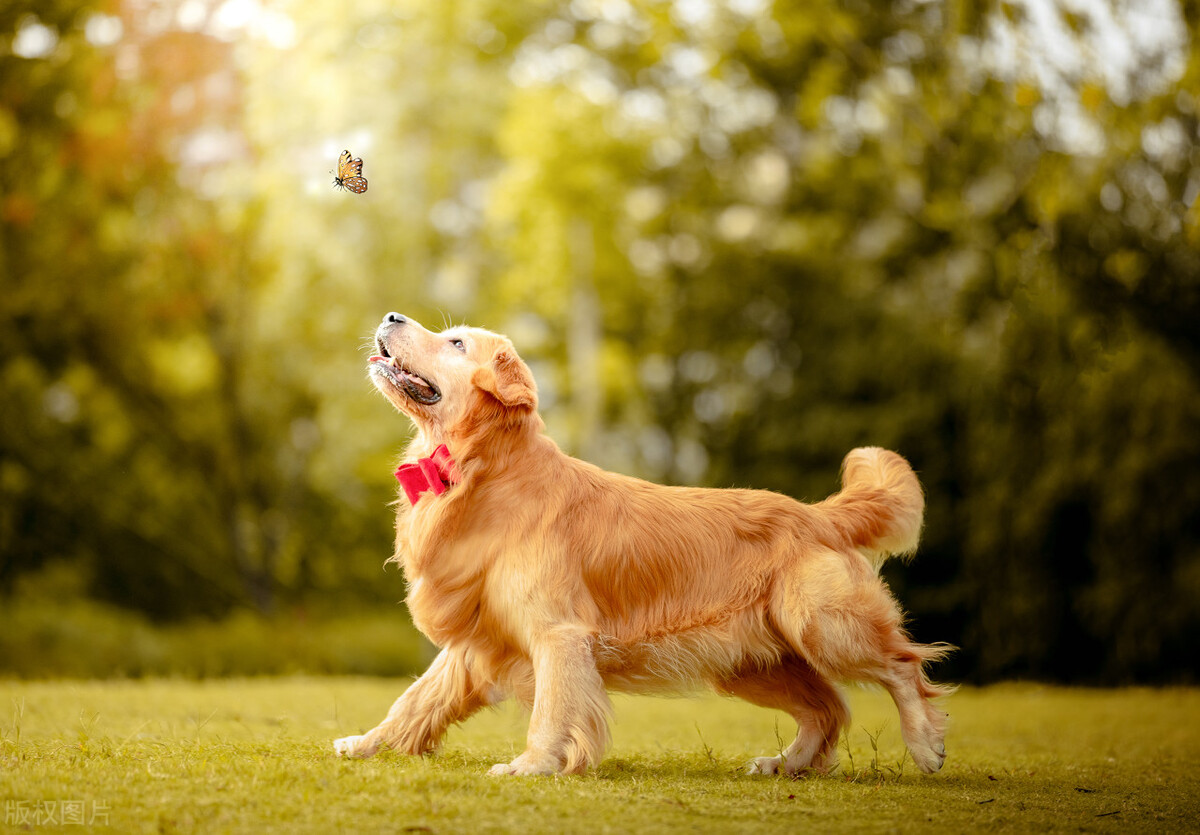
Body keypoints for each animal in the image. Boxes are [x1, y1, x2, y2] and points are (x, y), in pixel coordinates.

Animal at [333, 311, 950, 777]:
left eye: (457, 342)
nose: (391, 316)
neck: (487, 470)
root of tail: (818, 514)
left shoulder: (556, 633)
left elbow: (551, 710)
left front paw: (531, 766)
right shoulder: (481, 636)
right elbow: (414, 700)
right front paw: (367, 743)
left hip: (824, 623)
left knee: (901, 666)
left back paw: (925, 746)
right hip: (754, 662)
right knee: (828, 708)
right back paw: (786, 763)